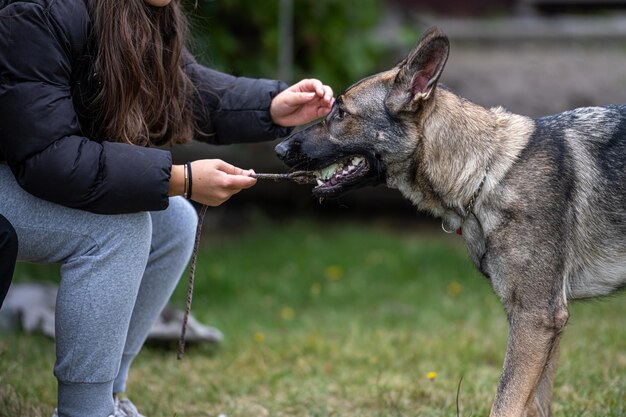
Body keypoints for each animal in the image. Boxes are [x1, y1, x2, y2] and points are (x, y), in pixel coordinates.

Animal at [274, 26, 624, 416]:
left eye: (341, 112)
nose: (279, 149)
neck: (487, 171)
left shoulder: (536, 318)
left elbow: (504, 402)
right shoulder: (539, 324)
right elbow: (531, 404)